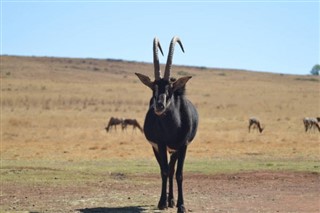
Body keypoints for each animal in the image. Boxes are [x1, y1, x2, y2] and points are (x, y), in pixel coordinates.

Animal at [134, 35, 198, 212]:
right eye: (153, 88)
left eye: (169, 88)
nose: (159, 106)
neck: (173, 127)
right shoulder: (161, 145)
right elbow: (164, 171)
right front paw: (162, 202)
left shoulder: (183, 146)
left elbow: (179, 174)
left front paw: (181, 205)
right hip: (158, 148)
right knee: (167, 169)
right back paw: (168, 200)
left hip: (175, 150)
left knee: (172, 170)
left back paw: (173, 200)